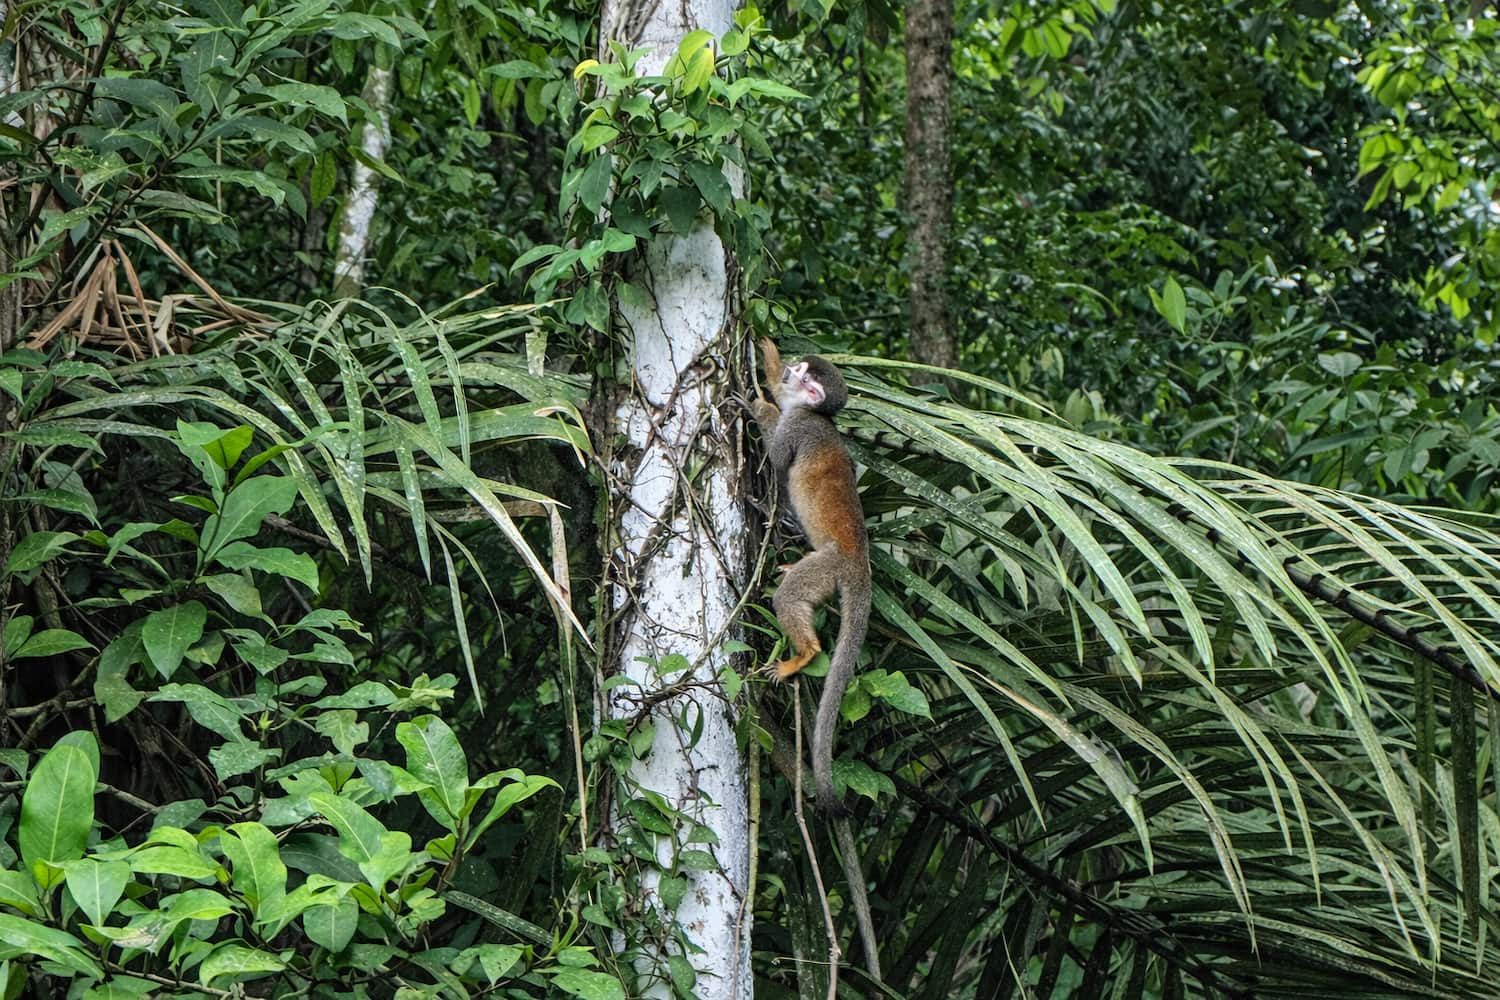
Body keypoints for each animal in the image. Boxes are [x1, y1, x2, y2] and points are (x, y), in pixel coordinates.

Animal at [748, 338, 870, 817]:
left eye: (805, 376)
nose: (792, 368)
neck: (816, 415)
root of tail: (860, 565)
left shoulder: (801, 424)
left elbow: (778, 454)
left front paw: (758, 404)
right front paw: (769, 360)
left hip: (829, 566)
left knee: (789, 598)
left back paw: (804, 654)